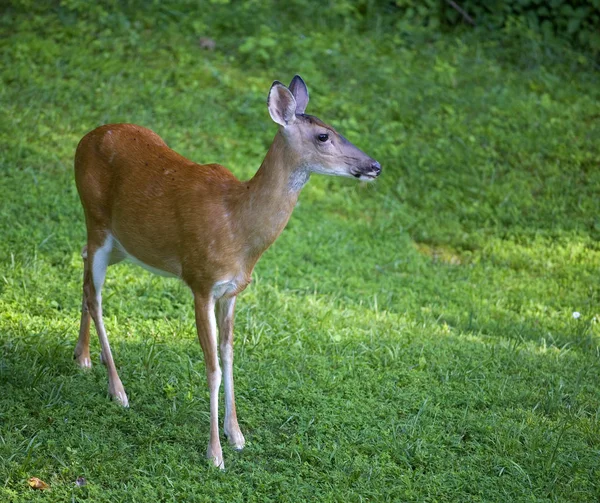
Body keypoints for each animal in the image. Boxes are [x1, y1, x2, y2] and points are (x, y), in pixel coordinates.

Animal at [74, 76, 380, 472]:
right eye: (323, 135)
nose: (375, 165)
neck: (239, 227)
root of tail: (85, 138)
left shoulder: (233, 290)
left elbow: (230, 355)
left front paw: (236, 435)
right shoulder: (200, 281)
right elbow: (213, 367)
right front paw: (214, 454)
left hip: (122, 244)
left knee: (83, 267)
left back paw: (82, 357)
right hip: (96, 218)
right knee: (96, 296)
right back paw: (117, 389)